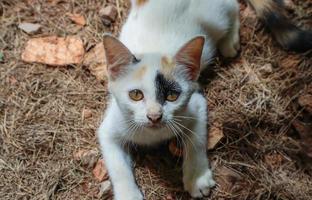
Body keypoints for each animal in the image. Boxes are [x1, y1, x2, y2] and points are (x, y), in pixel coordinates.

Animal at [97, 0, 310, 200]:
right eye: (136, 95)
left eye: (172, 95)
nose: (154, 116)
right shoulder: (109, 128)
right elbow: (118, 167)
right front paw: (128, 194)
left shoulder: (196, 104)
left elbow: (196, 141)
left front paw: (197, 178)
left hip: (216, 18)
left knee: (232, 7)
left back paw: (230, 41)